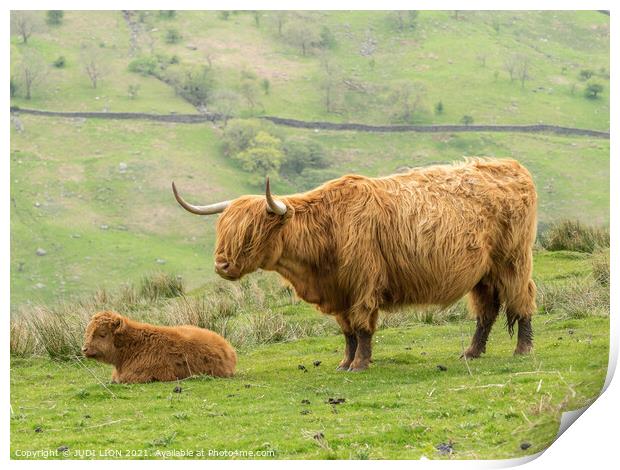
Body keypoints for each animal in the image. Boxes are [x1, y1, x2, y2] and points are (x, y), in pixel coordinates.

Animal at [172, 158, 536, 370]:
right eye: (222, 230)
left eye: (251, 233)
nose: (222, 265)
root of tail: (512, 166)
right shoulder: (338, 293)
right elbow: (346, 330)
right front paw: (344, 362)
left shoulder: (362, 286)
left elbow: (361, 327)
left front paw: (360, 363)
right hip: (482, 273)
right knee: (486, 311)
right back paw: (472, 352)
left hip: (513, 261)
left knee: (522, 300)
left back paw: (522, 349)